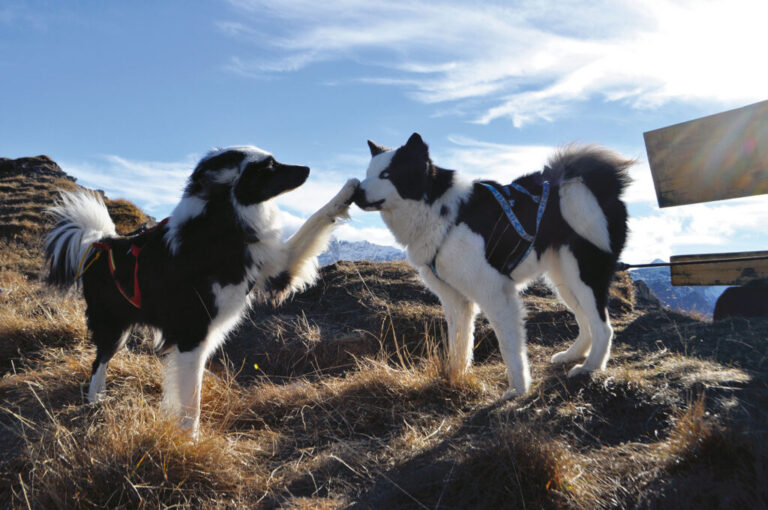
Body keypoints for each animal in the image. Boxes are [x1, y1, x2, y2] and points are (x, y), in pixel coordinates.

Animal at [45, 145, 360, 436]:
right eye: (268, 165)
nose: (307, 169)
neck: (223, 224)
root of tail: (101, 243)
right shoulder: (191, 333)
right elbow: (191, 402)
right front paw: (189, 441)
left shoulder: (277, 267)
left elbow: (316, 219)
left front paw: (348, 189)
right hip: (113, 326)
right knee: (99, 361)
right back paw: (95, 402)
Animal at [354, 133, 632, 400]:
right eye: (367, 173)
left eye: (387, 174)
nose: (356, 191)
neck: (443, 212)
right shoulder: (455, 299)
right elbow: (459, 343)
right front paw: (455, 377)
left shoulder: (496, 293)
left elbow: (509, 347)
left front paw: (518, 389)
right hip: (564, 278)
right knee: (586, 321)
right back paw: (574, 355)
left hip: (584, 272)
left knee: (603, 328)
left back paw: (590, 367)